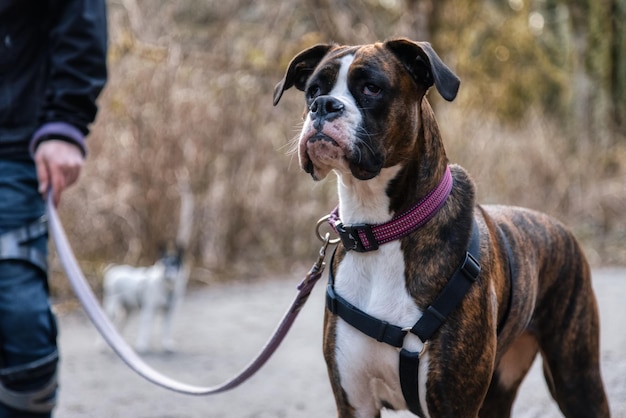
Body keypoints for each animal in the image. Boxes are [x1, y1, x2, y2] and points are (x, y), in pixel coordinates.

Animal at [270, 39, 608, 418]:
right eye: (313, 90)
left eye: (371, 88)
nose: (323, 105)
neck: (381, 230)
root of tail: (558, 226)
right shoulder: (354, 402)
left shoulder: (453, 403)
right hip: (501, 390)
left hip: (578, 379)